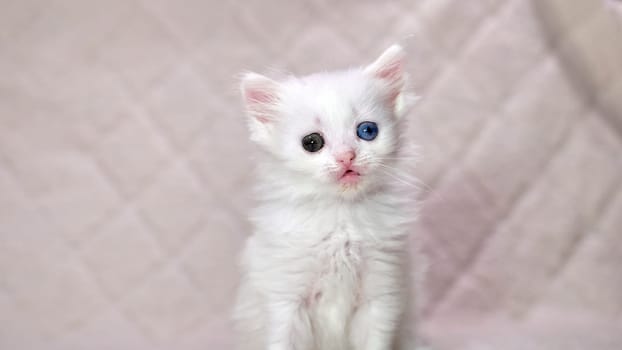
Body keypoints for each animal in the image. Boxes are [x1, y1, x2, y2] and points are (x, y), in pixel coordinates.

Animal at [233, 44, 420, 350]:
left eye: (367, 131)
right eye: (312, 142)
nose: (347, 156)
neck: (340, 217)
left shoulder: (381, 294)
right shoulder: (286, 299)